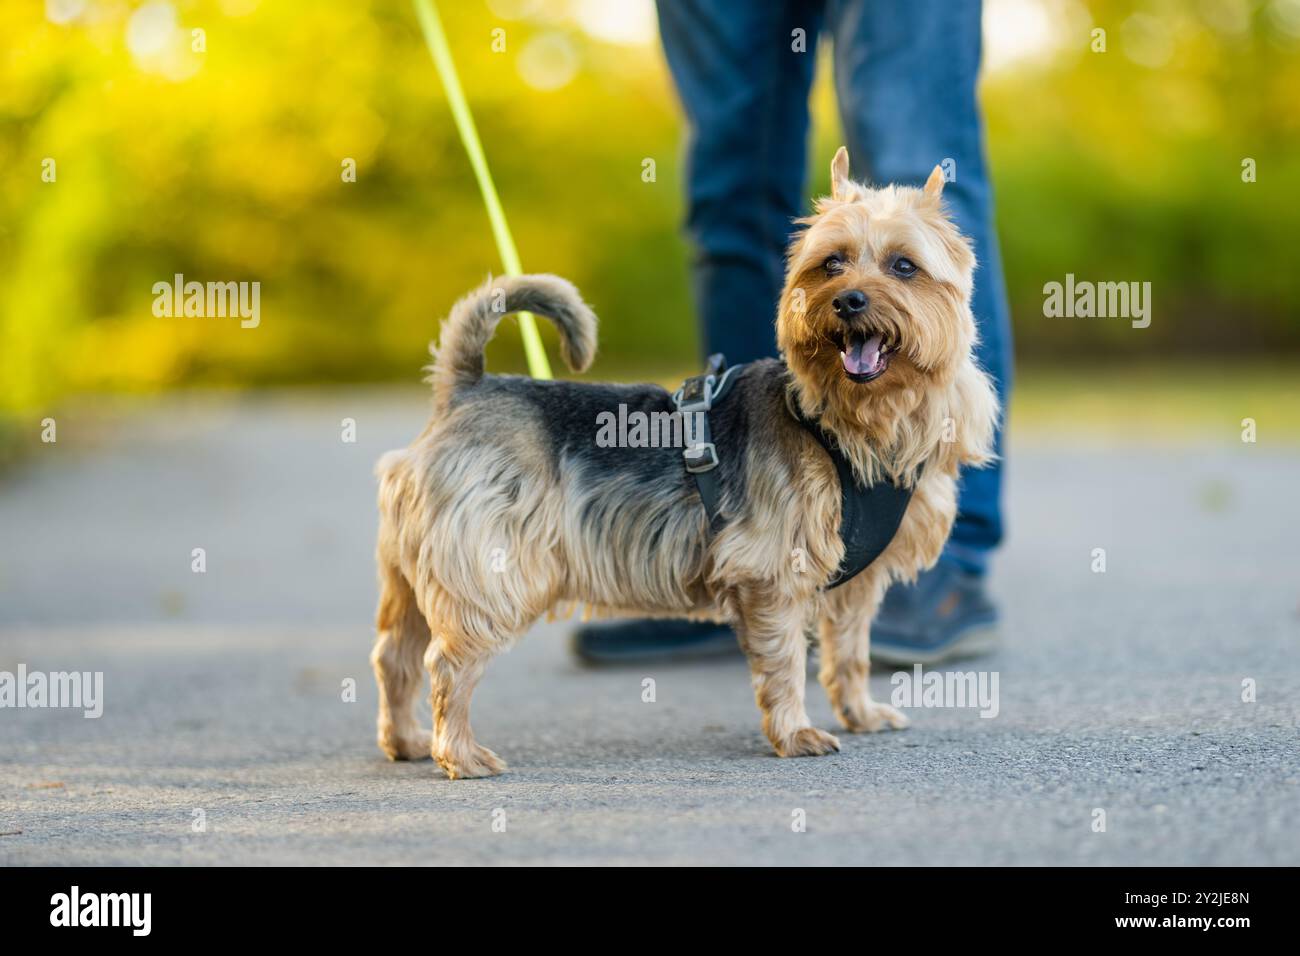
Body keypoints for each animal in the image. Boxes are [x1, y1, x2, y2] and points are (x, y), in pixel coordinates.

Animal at [371, 149, 998, 780]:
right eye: (832, 264)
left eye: (904, 266)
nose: (848, 301)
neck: (849, 421)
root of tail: (465, 388)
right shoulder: (772, 574)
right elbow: (784, 663)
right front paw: (795, 733)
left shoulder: (855, 584)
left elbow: (850, 653)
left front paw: (861, 713)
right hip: (490, 571)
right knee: (446, 662)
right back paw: (460, 753)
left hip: (414, 571)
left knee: (395, 654)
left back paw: (407, 740)